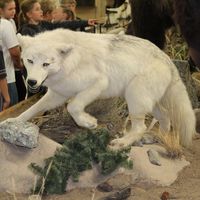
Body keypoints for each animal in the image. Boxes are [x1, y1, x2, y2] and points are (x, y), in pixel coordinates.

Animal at [16, 28, 195, 149]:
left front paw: (89, 123)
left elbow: (73, 106)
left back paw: (123, 142)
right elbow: (31, 110)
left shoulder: (99, 83)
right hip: (151, 105)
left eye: (46, 64)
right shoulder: (58, 95)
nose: (32, 82)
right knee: (165, 118)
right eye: (30, 61)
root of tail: (167, 58)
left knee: (140, 127)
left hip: (135, 98)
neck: (71, 62)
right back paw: (159, 138)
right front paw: (13, 121)